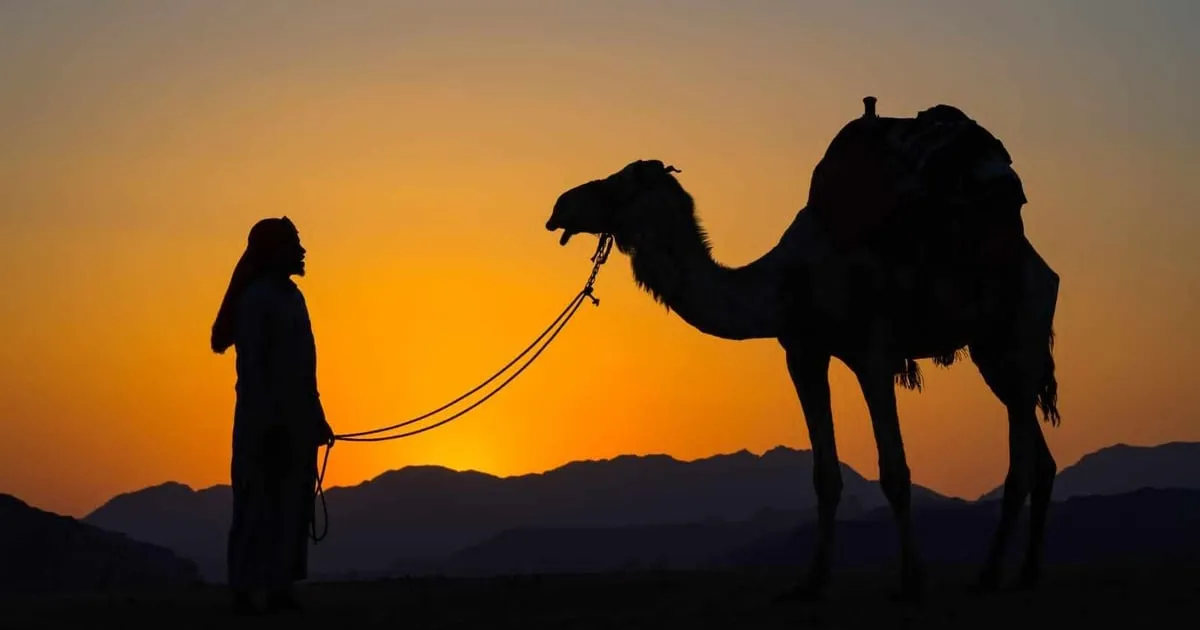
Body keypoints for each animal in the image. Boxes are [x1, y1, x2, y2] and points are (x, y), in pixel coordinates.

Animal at [544, 97, 1061, 600]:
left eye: (620, 182)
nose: (559, 206)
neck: (788, 281)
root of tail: (1041, 264)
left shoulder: (872, 352)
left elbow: (894, 472)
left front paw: (912, 579)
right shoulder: (803, 353)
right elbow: (825, 476)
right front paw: (812, 580)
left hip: (1022, 327)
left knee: (1019, 463)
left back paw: (990, 574)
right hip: (991, 351)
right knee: (1039, 456)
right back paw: (1028, 572)